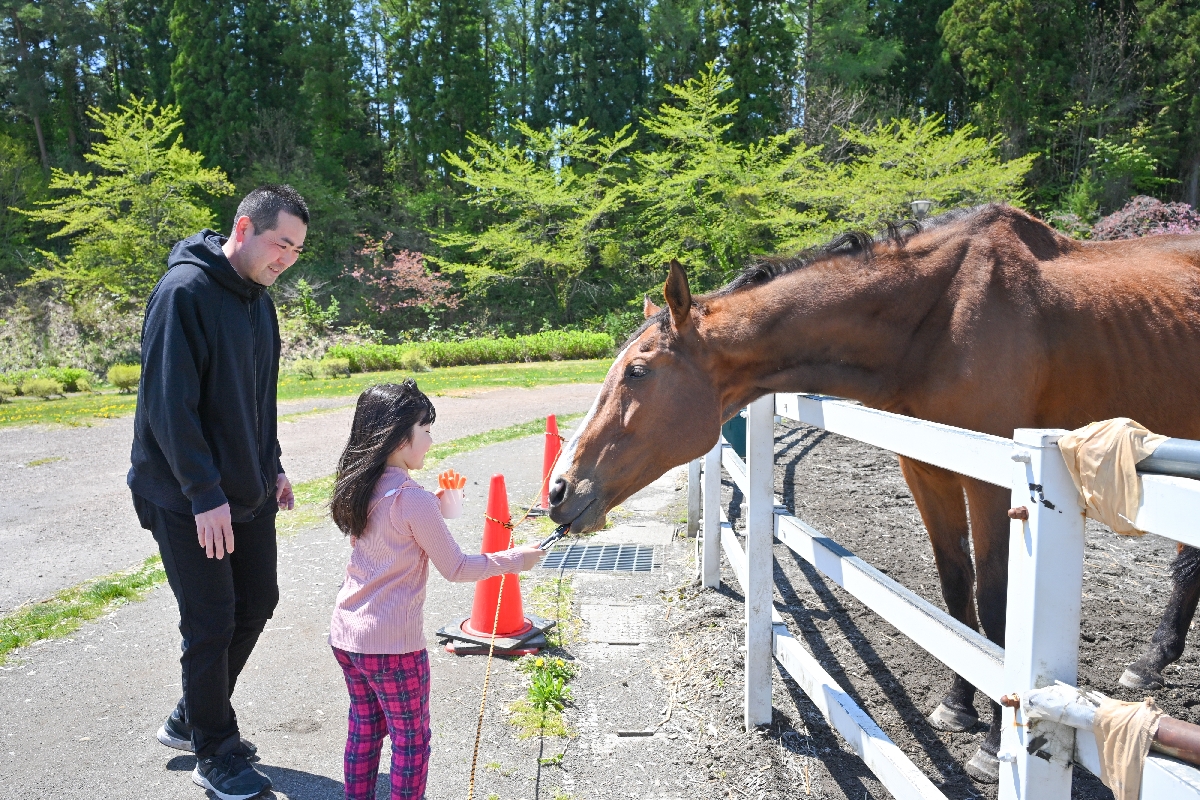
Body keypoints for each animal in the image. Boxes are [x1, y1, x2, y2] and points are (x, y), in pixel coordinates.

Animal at [547, 204, 1200, 782]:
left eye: (638, 371)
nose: (558, 488)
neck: (941, 315)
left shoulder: (993, 479)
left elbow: (993, 603)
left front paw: (993, 744)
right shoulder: (926, 467)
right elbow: (955, 588)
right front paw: (957, 705)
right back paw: (1149, 662)